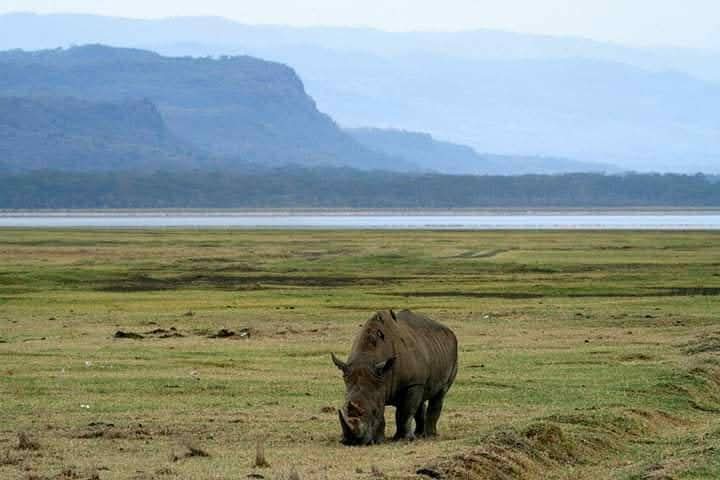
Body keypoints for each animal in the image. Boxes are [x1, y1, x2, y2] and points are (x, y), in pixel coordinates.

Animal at [331, 309, 458, 445]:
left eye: (374, 411)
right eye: (344, 409)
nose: (352, 442)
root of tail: (449, 330)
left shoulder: (412, 383)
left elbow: (404, 413)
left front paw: (402, 439)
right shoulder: (380, 384)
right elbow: (387, 413)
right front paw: (380, 440)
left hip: (452, 353)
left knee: (440, 394)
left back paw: (430, 435)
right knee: (421, 399)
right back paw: (419, 434)